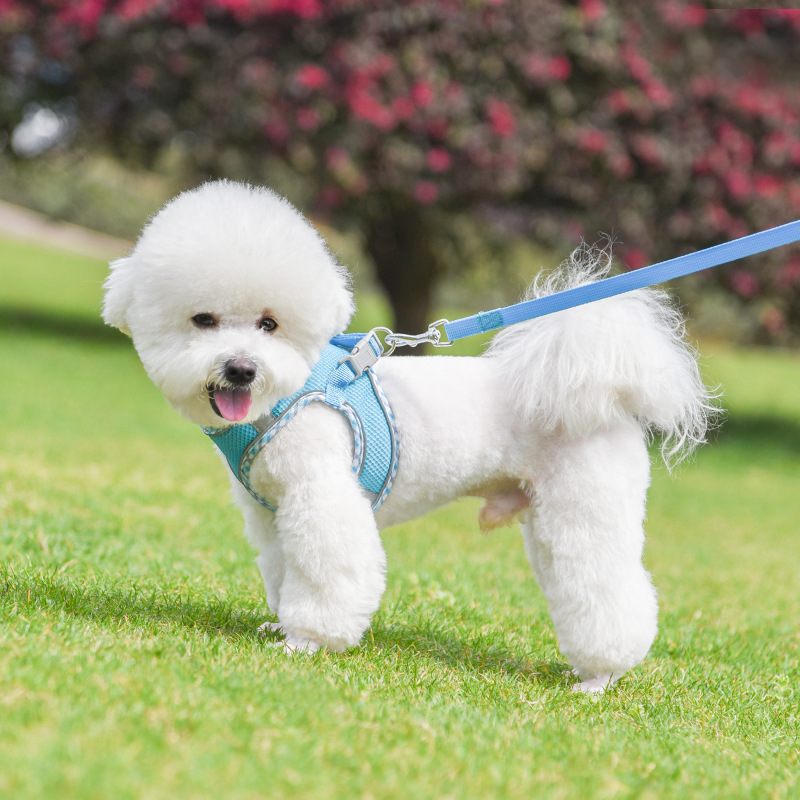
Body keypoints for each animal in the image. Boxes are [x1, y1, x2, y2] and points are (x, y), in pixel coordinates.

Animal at [103, 180, 714, 693]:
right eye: (202, 320)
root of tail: (607, 393)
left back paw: (598, 678)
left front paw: (308, 641)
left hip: (587, 511)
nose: (240, 369)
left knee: (612, 594)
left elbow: (328, 571)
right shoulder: (271, 512)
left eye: (269, 324)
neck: (281, 398)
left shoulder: (321, 494)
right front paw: (281, 624)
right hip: (550, 522)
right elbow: (282, 568)